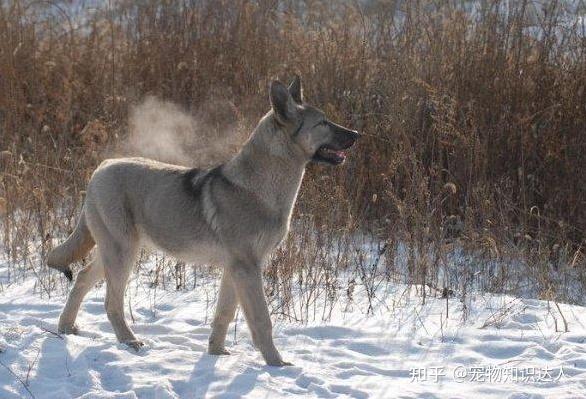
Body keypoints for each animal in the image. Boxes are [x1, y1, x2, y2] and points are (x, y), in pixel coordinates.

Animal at [48, 76, 358, 368]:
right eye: (323, 123)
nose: (356, 133)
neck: (259, 188)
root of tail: (100, 169)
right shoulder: (248, 268)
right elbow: (261, 321)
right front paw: (276, 364)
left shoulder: (235, 269)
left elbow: (224, 315)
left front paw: (216, 352)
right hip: (122, 253)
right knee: (111, 303)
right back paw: (129, 341)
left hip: (115, 252)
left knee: (82, 279)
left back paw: (66, 327)